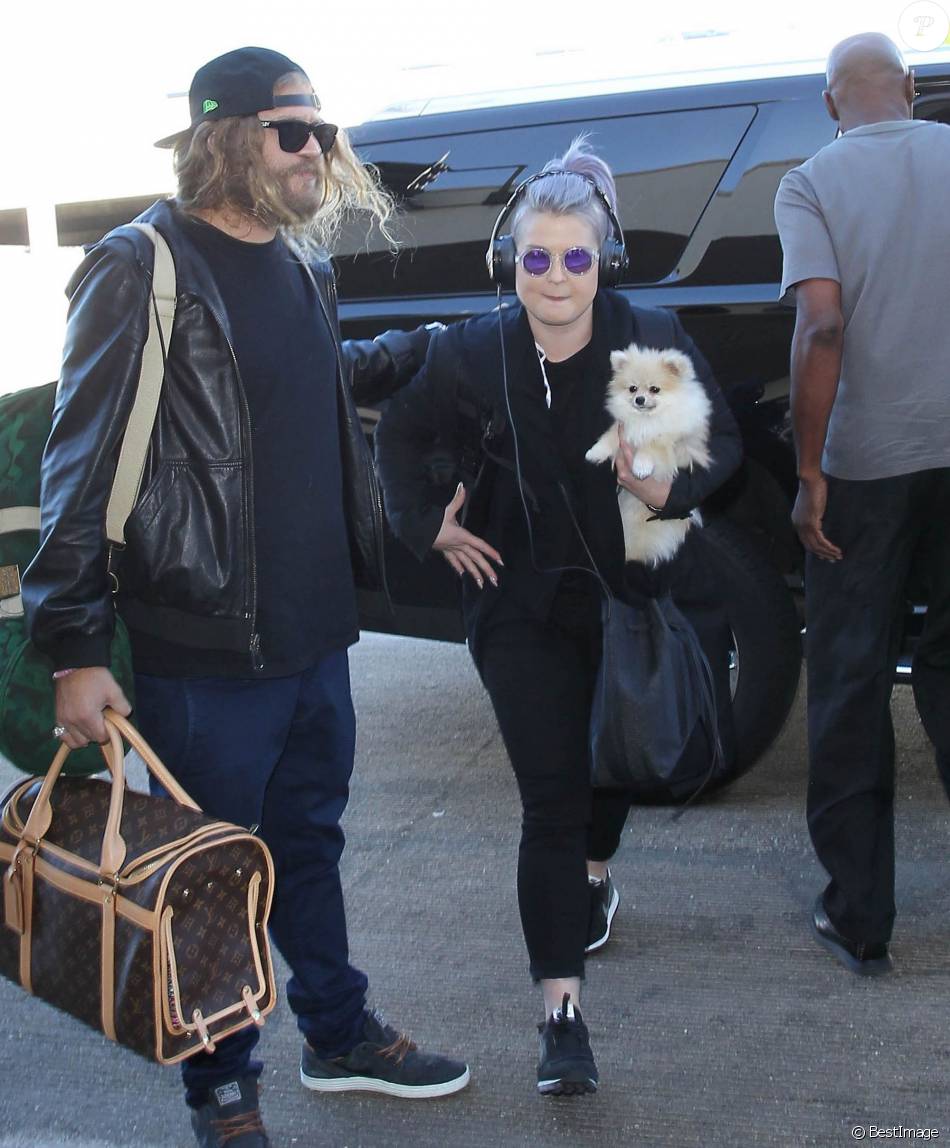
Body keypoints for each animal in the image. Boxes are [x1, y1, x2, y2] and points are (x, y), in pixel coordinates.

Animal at [587, 344, 711, 569]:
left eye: (654, 389)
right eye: (632, 389)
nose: (639, 399)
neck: (646, 420)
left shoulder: (669, 438)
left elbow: (650, 446)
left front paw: (641, 466)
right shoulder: (624, 427)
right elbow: (610, 436)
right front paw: (595, 452)